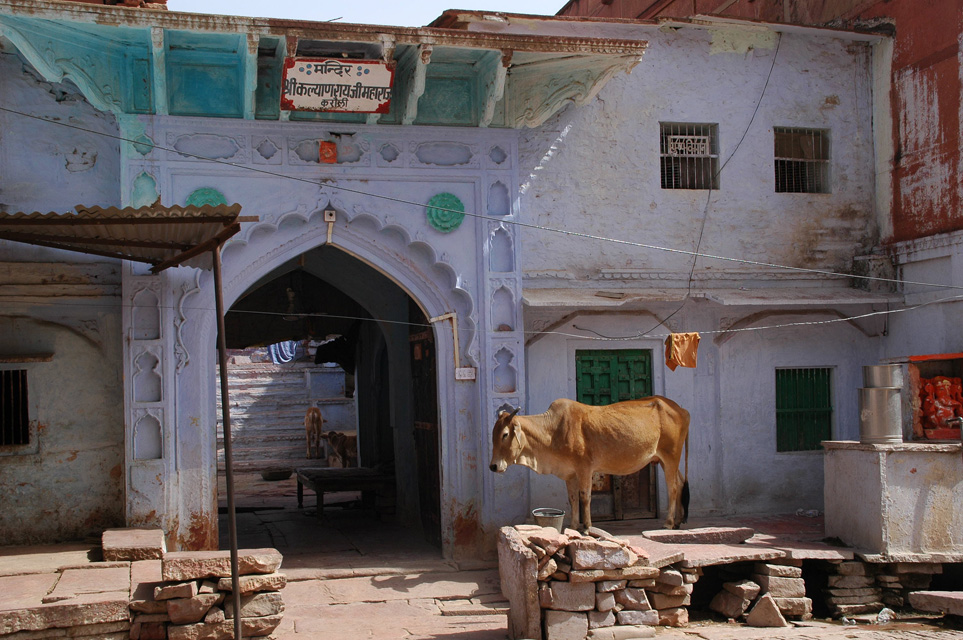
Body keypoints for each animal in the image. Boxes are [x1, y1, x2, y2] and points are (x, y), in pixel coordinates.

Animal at [494, 400, 688, 528]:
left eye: (505, 434)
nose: (493, 466)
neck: (553, 431)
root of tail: (682, 409)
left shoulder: (585, 468)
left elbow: (585, 497)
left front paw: (587, 527)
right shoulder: (569, 473)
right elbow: (572, 499)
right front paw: (573, 527)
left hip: (671, 457)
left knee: (672, 488)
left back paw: (669, 523)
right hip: (665, 461)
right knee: (680, 483)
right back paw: (678, 521)